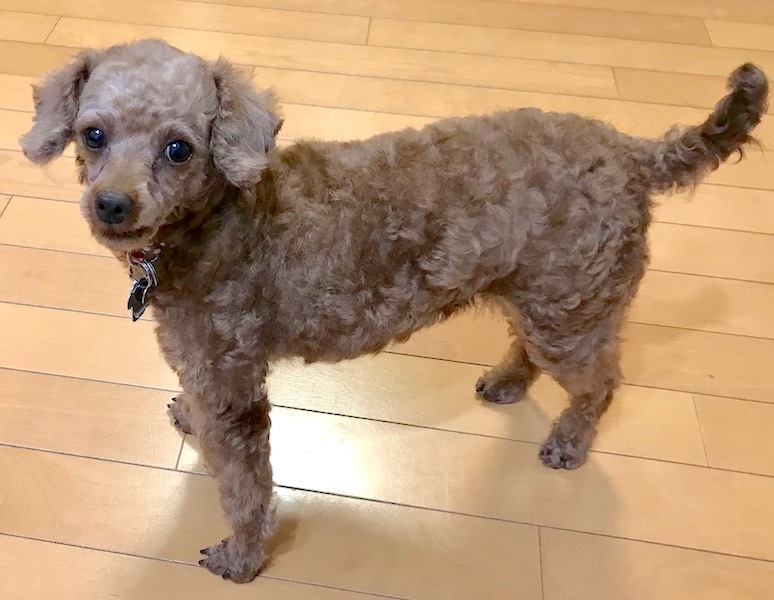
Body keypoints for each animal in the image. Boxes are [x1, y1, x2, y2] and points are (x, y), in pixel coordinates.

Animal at [20, 39, 767, 582]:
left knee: (602, 382)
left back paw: (569, 442)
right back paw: (507, 381)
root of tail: (636, 154)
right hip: (539, 295)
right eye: (92, 135)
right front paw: (184, 415)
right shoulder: (204, 367)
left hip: (571, 307)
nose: (111, 206)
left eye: (179, 148)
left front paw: (242, 557)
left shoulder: (234, 389)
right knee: (533, 349)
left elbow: (245, 487)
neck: (220, 220)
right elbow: (200, 418)